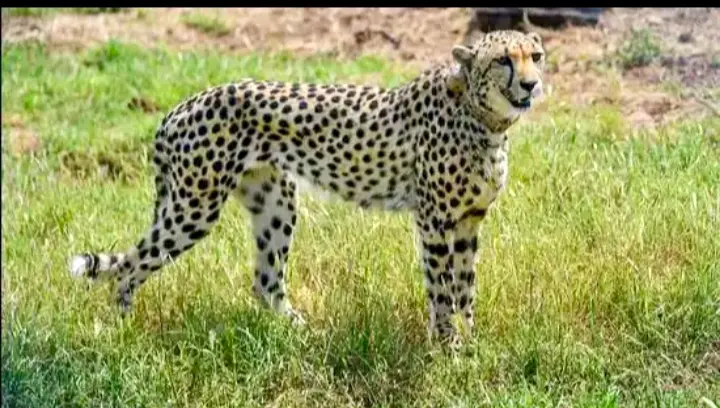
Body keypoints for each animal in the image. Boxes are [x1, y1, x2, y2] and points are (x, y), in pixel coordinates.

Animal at [69, 30, 546, 347]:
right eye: (503, 60)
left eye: (536, 56)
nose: (531, 83)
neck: (484, 119)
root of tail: (180, 106)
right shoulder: (433, 220)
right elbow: (442, 289)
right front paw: (448, 347)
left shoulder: (468, 221)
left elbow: (466, 287)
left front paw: (471, 344)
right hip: (194, 208)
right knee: (130, 268)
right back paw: (123, 330)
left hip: (275, 202)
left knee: (265, 281)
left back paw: (302, 333)